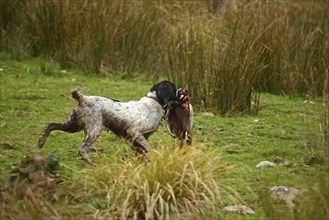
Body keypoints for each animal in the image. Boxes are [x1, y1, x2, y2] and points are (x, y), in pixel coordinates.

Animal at [37, 81, 176, 165]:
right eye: (174, 88)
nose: (181, 91)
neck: (155, 101)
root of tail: (83, 98)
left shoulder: (132, 138)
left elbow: (141, 151)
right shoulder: (134, 132)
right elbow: (148, 148)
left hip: (72, 125)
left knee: (51, 125)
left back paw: (41, 142)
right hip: (95, 128)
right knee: (81, 150)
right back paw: (92, 164)